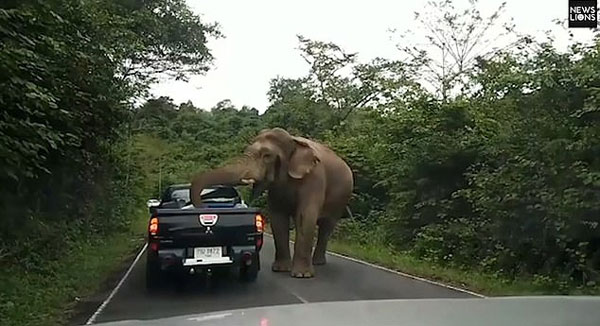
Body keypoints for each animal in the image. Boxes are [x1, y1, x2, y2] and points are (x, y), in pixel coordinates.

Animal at [190, 127, 354, 278]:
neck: (293, 141)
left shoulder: (315, 178)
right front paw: (281, 270)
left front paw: (302, 275)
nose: (204, 208)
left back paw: (318, 263)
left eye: (267, 156)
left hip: (341, 199)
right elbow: (278, 217)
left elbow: (305, 216)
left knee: (327, 226)